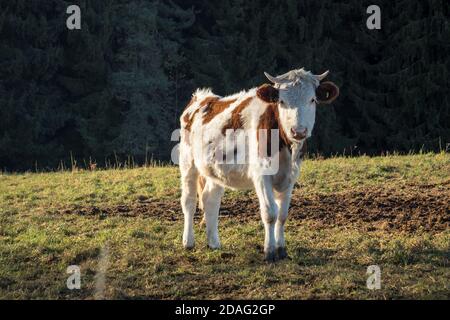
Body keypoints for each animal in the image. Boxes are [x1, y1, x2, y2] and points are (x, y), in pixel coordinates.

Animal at [178, 69, 340, 262]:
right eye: (281, 101)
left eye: (312, 99)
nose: (298, 131)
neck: (285, 147)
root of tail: (203, 97)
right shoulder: (262, 175)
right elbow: (270, 213)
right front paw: (269, 252)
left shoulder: (290, 176)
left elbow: (282, 215)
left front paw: (282, 249)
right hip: (187, 161)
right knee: (189, 201)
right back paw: (188, 242)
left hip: (215, 170)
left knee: (210, 199)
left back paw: (214, 243)